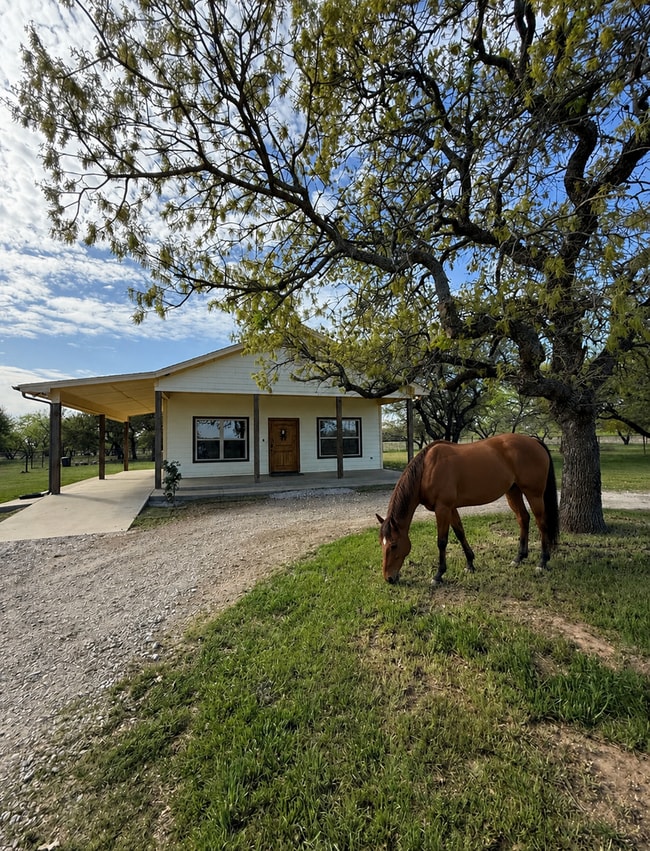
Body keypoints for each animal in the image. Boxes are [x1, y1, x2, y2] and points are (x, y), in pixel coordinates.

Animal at [376, 433, 559, 584]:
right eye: (381, 544)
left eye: (393, 545)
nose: (389, 578)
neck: (427, 469)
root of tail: (533, 441)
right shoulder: (451, 508)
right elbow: (460, 533)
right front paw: (470, 564)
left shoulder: (442, 508)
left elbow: (442, 541)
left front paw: (438, 575)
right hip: (513, 492)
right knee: (523, 518)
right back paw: (519, 558)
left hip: (534, 494)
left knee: (541, 523)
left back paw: (542, 562)